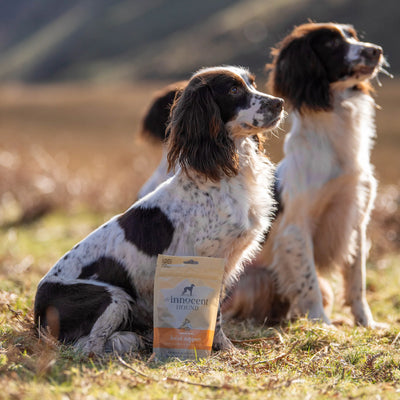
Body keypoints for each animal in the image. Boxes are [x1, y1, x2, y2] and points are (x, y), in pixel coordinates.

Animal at [34, 65, 284, 354]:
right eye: (233, 90)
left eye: (252, 83)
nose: (280, 103)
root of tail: (37, 311)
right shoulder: (207, 258)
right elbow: (215, 315)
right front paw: (224, 350)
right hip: (113, 296)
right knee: (89, 347)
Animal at [223, 22, 386, 328]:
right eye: (332, 43)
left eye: (353, 35)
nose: (376, 50)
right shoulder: (297, 229)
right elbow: (308, 282)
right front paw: (323, 324)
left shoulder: (356, 219)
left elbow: (356, 281)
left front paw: (366, 323)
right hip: (251, 282)